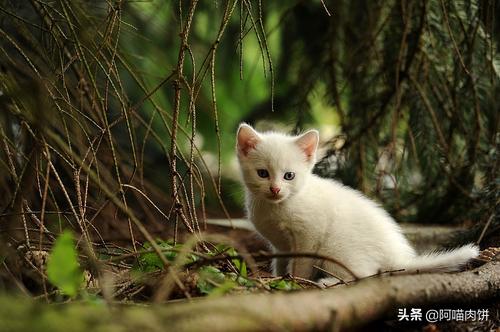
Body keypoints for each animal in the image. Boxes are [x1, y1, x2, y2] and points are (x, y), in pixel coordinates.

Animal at [236, 123, 478, 286]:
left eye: (289, 176)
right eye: (263, 173)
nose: (275, 189)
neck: (278, 207)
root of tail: (396, 257)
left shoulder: (309, 236)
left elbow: (301, 264)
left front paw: (296, 281)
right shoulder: (280, 245)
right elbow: (280, 261)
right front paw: (278, 276)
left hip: (335, 248)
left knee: (364, 275)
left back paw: (328, 283)